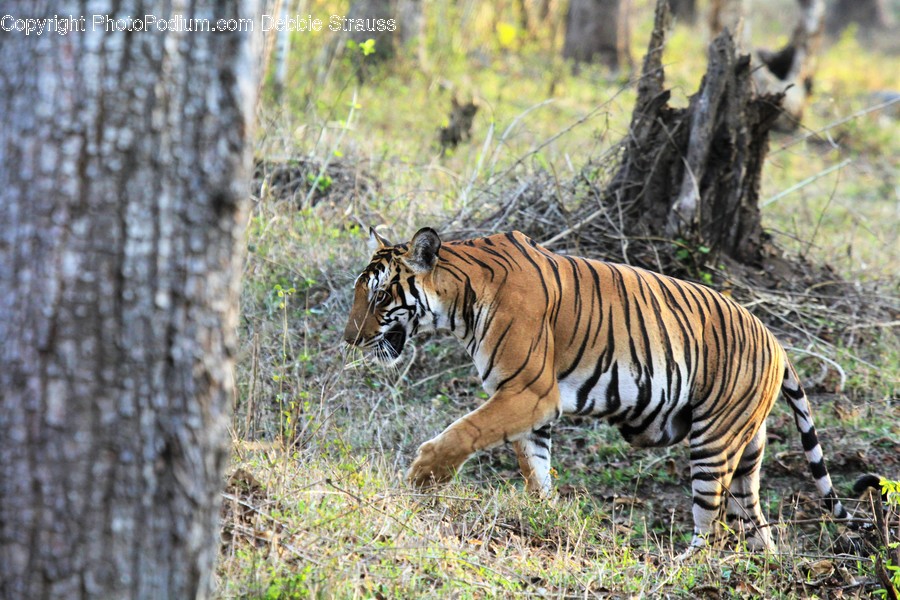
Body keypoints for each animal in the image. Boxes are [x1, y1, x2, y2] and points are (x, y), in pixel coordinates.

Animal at [343, 226, 852, 551]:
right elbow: (535, 468)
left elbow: (462, 432)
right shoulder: (527, 403)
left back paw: (679, 567)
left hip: (715, 440)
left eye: (381, 296)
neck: (459, 300)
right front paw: (547, 515)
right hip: (748, 448)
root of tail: (776, 342)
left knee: (710, 525)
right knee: (755, 523)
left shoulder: (528, 391)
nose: (349, 339)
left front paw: (420, 479)